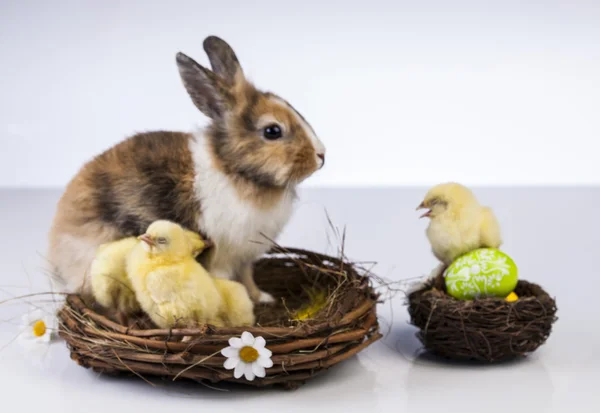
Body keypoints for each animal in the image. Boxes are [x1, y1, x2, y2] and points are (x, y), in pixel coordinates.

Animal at [47, 36, 326, 302]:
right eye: (272, 131)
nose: (321, 155)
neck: (233, 169)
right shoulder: (222, 256)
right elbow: (227, 282)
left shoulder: (245, 257)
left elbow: (248, 280)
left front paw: (263, 299)